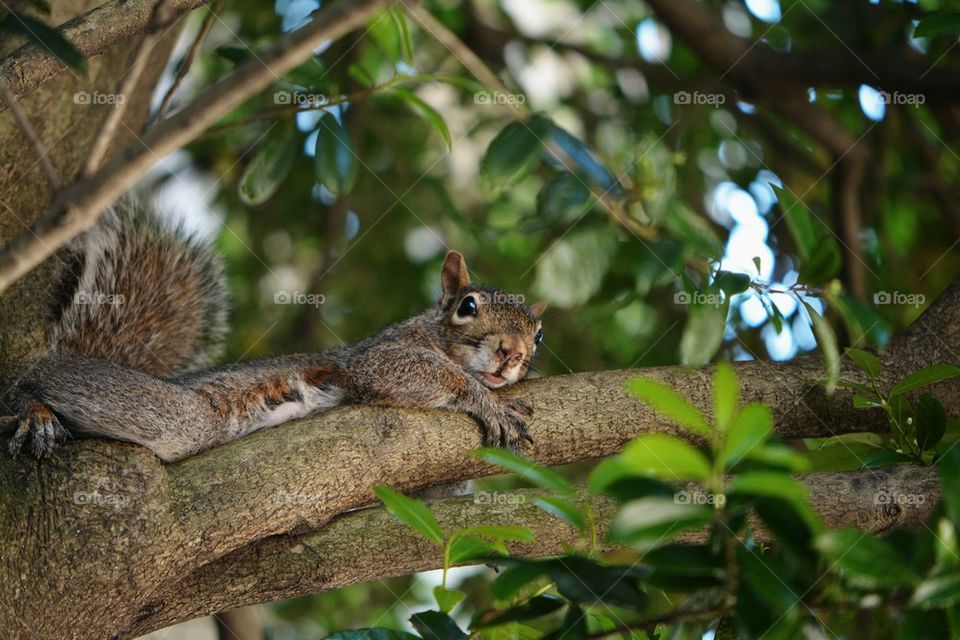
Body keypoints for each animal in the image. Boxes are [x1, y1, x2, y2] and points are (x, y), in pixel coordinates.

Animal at [3, 202, 544, 462]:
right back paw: (31, 409)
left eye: (539, 335)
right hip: (180, 416)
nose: (512, 353)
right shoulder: (380, 355)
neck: (432, 332)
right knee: (46, 376)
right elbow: (399, 371)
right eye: (468, 306)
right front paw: (487, 400)